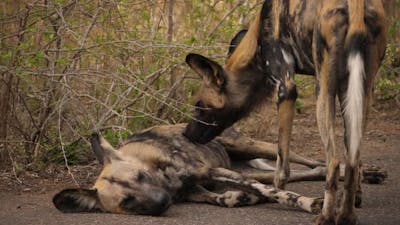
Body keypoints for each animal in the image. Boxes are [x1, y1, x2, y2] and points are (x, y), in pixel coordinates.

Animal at [52, 124, 384, 215]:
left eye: (142, 177)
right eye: (128, 202)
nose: (162, 202)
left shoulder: (208, 173)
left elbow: (278, 193)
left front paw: (308, 203)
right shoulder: (201, 189)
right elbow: (229, 198)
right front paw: (247, 199)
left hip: (255, 147)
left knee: (317, 163)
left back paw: (362, 176)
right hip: (252, 167)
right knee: (308, 171)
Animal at [182, 0, 388, 225]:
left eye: (199, 106)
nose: (185, 133)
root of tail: (355, 7)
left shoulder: (286, 89)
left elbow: (281, 166)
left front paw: (273, 195)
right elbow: (356, 161)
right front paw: (357, 197)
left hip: (323, 91)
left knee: (333, 160)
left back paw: (326, 216)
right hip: (361, 91)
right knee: (352, 158)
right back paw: (346, 216)